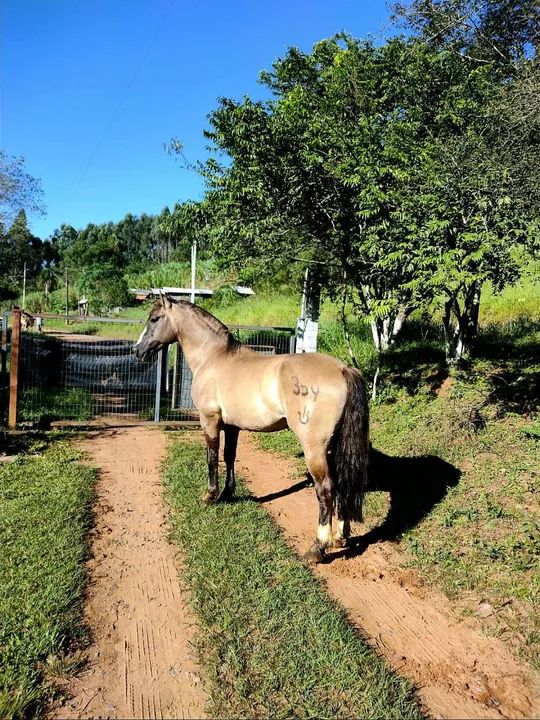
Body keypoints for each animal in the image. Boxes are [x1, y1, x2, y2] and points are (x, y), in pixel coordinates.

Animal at [134, 294, 369, 563]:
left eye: (154, 318)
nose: (137, 350)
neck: (214, 358)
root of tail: (343, 369)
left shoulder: (210, 420)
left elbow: (212, 457)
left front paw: (210, 496)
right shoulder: (232, 426)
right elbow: (229, 456)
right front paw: (227, 493)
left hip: (315, 449)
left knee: (326, 489)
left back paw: (318, 547)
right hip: (334, 446)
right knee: (341, 484)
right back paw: (341, 536)